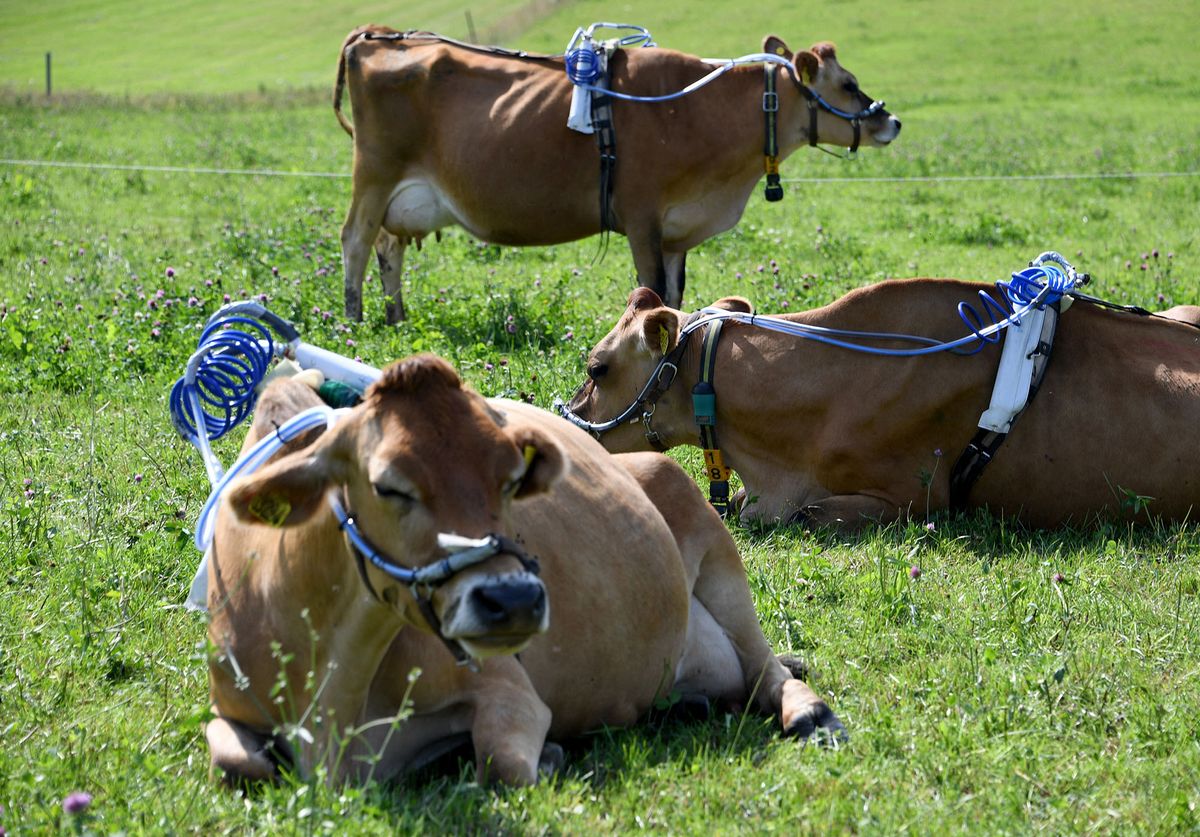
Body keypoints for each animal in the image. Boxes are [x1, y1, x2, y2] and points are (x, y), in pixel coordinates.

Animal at [204, 354, 844, 786]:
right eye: (389, 486)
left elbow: (503, 762)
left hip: (709, 541)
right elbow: (235, 758)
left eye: (512, 480)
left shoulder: (508, 688)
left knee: (765, 669)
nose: (511, 600)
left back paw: (808, 712)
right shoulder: (228, 707)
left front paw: (550, 754)